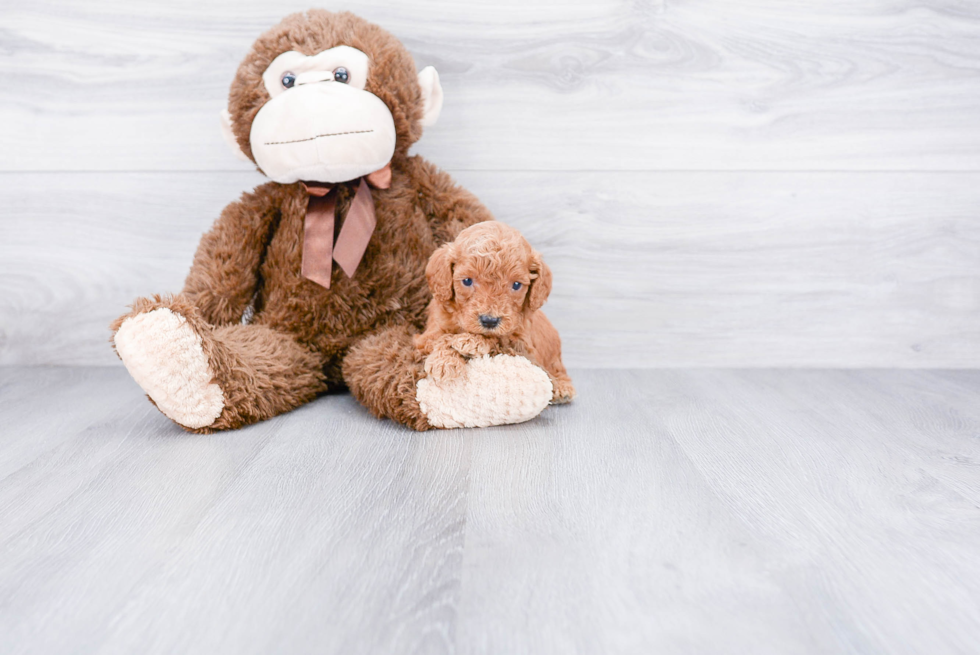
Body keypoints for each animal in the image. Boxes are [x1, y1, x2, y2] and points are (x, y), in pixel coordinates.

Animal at [412, 223, 576, 402]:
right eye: (467, 281)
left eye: (516, 285)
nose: (489, 321)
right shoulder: (426, 336)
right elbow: (443, 336)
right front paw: (444, 361)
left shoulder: (524, 347)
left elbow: (499, 339)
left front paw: (472, 341)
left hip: (554, 359)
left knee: (558, 370)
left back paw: (562, 387)